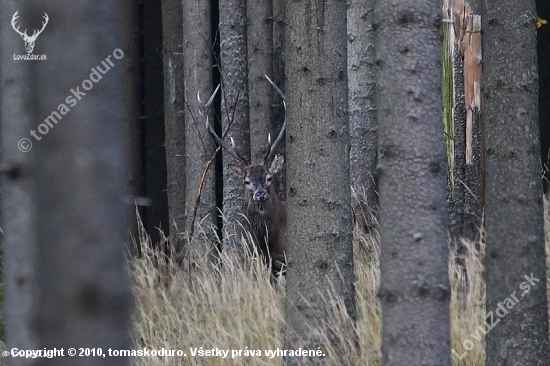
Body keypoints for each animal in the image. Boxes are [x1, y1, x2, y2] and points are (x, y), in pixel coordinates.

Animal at [198, 76, 288, 274]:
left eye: (269, 178)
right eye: (247, 181)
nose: (260, 194)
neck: (267, 243)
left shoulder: (284, 260)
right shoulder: (257, 259)